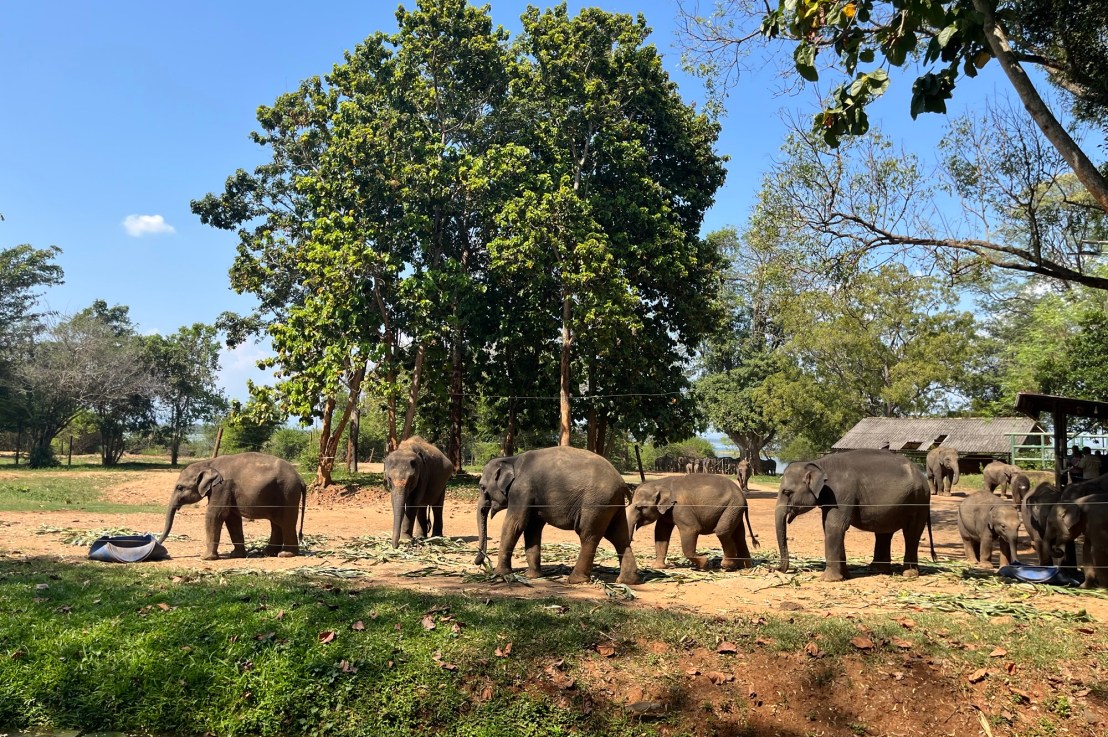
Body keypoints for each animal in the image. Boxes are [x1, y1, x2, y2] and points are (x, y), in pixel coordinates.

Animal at [157, 452, 305, 560]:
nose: (160, 546)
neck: (208, 463)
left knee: (286, 522)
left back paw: (286, 554)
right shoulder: (227, 491)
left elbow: (215, 514)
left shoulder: (222, 486)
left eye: (180, 487)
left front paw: (205, 558)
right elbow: (232, 518)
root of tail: (301, 479)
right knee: (276, 523)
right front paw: (236, 555)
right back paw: (267, 553)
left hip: (288, 493)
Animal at [474, 446, 638, 585]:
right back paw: (626, 581)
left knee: (588, 536)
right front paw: (531, 576)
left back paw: (575, 580)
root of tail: (622, 483)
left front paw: (499, 574)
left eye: (482, 487)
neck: (512, 459)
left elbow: (515, 524)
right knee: (619, 537)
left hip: (596, 503)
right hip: (613, 504)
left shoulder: (521, 490)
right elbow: (532, 528)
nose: (478, 562)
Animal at [626, 474, 759, 571]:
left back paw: (727, 565)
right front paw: (657, 567)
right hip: (735, 509)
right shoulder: (666, 512)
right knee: (739, 536)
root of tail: (743, 497)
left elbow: (691, 529)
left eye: (640, 507)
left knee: (722, 532)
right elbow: (661, 534)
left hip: (732, 507)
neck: (660, 483)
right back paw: (745, 567)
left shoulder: (680, 508)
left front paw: (704, 564)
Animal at [775, 449, 933, 582]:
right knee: (884, 533)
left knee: (911, 534)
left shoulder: (841, 492)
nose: (775, 569)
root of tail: (922, 476)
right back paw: (877, 570)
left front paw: (828, 580)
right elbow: (830, 527)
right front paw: (845, 575)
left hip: (918, 502)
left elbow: (834, 526)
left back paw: (909, 574)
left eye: (787, 492)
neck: (819, 463)